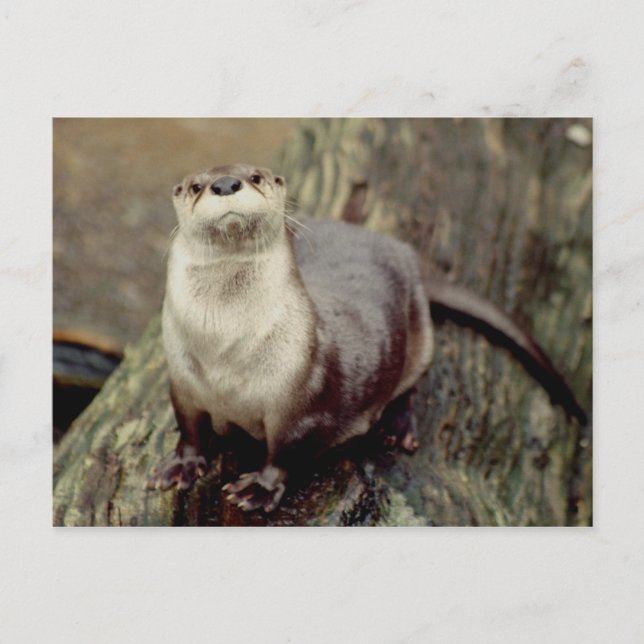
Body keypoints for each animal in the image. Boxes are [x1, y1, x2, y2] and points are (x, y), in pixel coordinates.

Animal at [145, 162, 586, 512]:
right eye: (196, 186)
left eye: (255, 176)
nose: (225, 184)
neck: (224, 352)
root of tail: (407, 254)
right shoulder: (182, 381)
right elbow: (189, 427)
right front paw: (180, 466)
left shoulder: (303, 401)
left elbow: (286, 451)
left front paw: (259, 488)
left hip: (420, 337)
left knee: (411, 386)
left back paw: (398, 429)